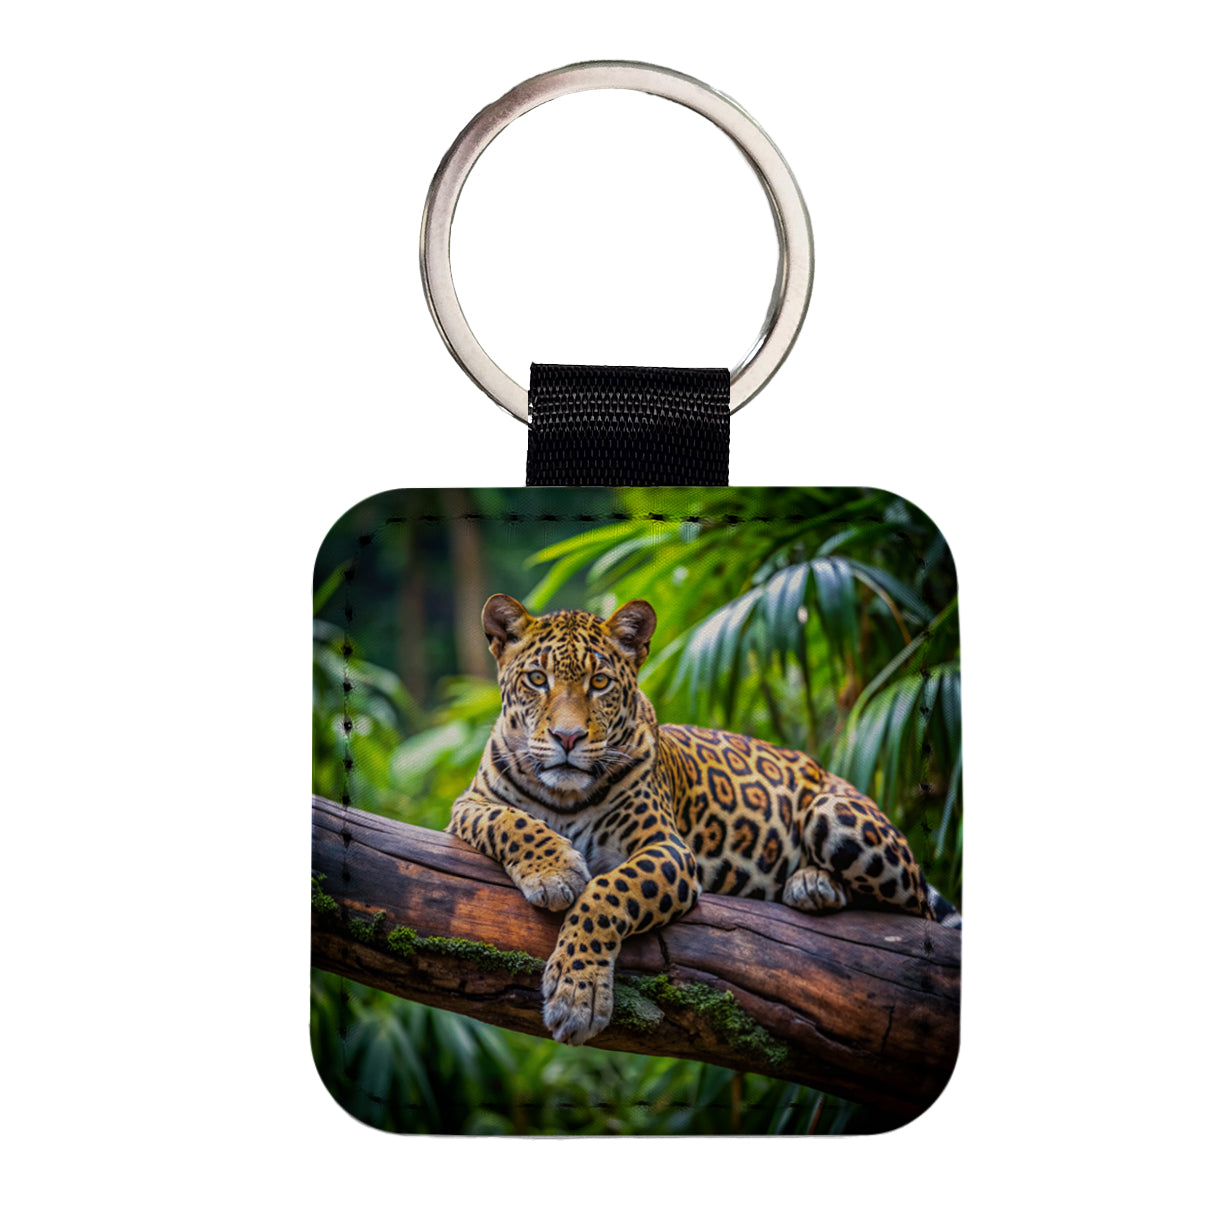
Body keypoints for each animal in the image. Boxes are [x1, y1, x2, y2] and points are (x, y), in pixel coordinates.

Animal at [448, 593, 960, 1047]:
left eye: (600, 683)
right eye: (537, 679)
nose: (568, 737)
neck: (564, 796)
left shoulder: (668, 850)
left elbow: (606, 893)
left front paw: (578, 996)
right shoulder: (469, 806)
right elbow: (511, 822)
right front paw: (553, 870)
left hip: (833, 812)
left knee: (914, 916)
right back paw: (812, 884)